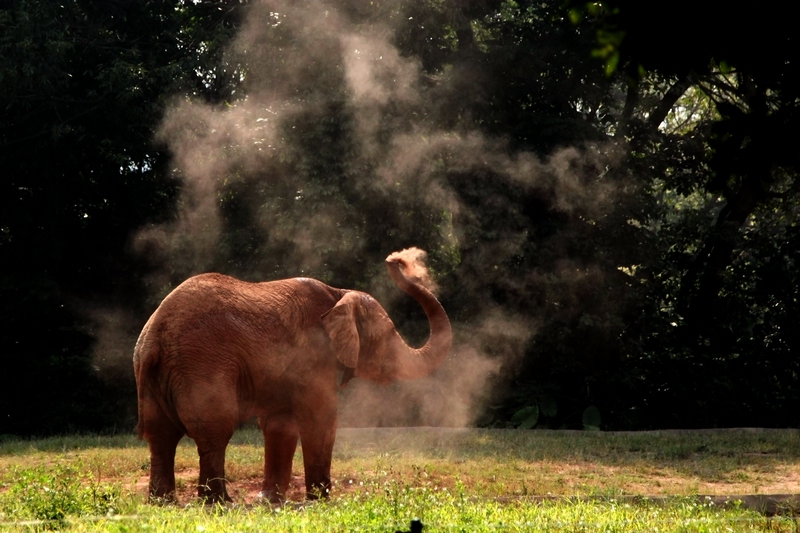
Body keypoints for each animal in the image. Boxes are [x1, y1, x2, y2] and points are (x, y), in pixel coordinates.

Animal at [133, 249, 452, 503]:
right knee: (214, 431)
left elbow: (280, 424)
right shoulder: (314, 356)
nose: (396, 259)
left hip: (156, 374)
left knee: (160, 436)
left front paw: (270, 500)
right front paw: (321, 500)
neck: (338, 294)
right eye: (388, 334)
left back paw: (163, 502)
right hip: (202, 365)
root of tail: (155, 336)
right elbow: (320, 417)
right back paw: (220, 503)